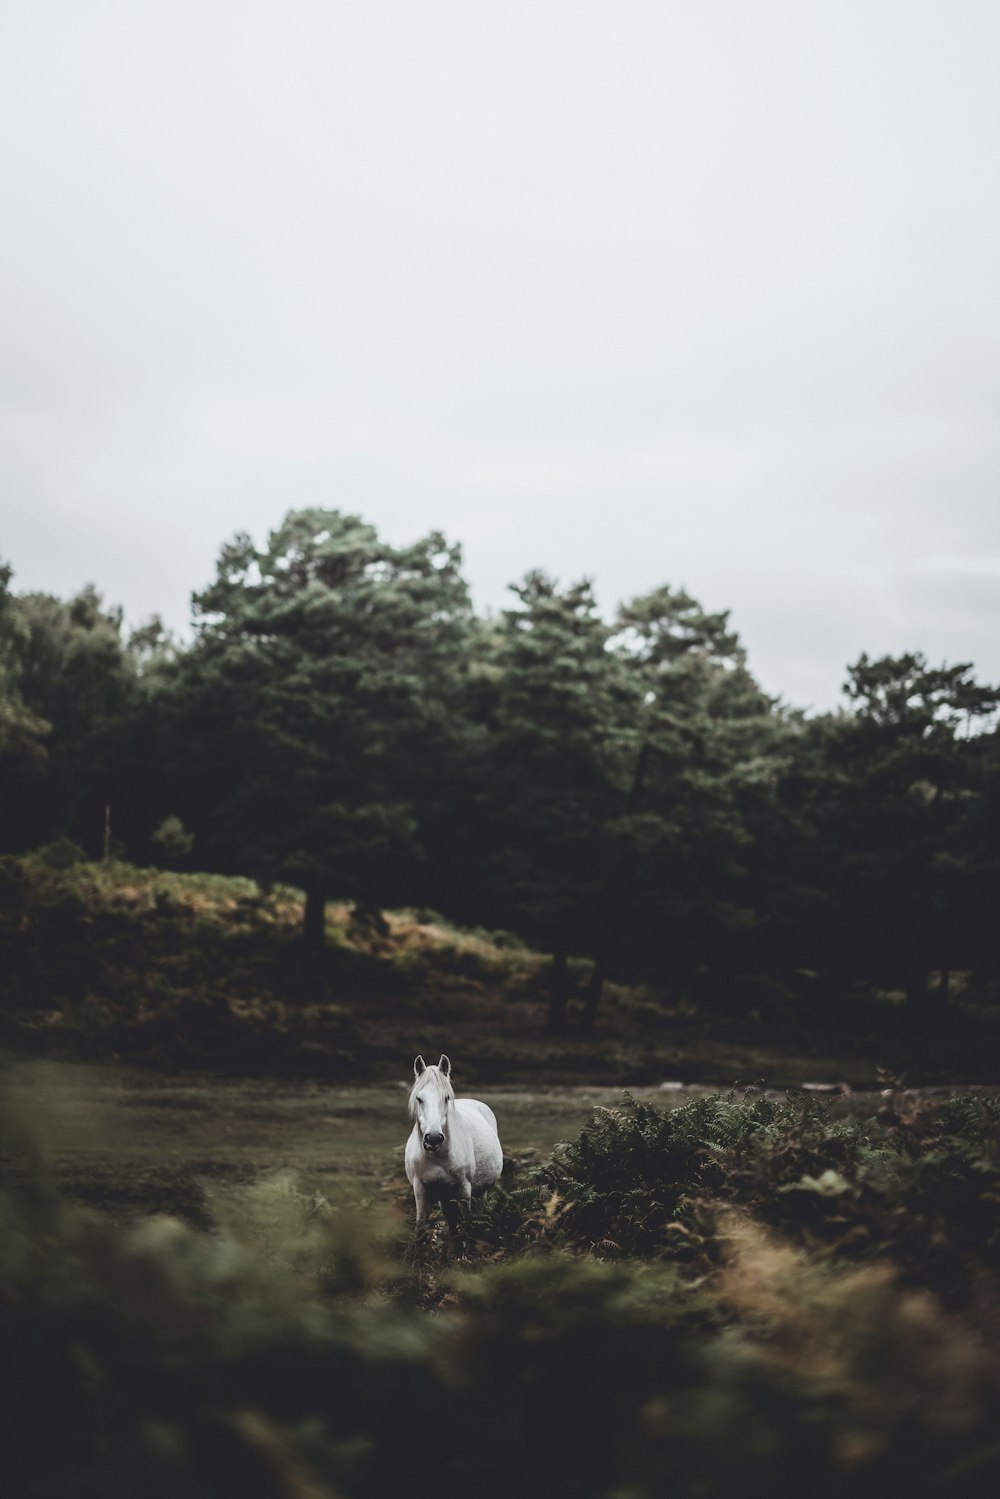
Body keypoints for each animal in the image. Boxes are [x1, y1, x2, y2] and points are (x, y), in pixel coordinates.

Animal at [404, 1055, 503, 1229]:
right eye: (419, 1099)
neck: (436, 1157)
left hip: (481, 1193)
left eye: (446, 1098)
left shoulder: (464, 1190)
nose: (434, 1138)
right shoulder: (420, 1191)